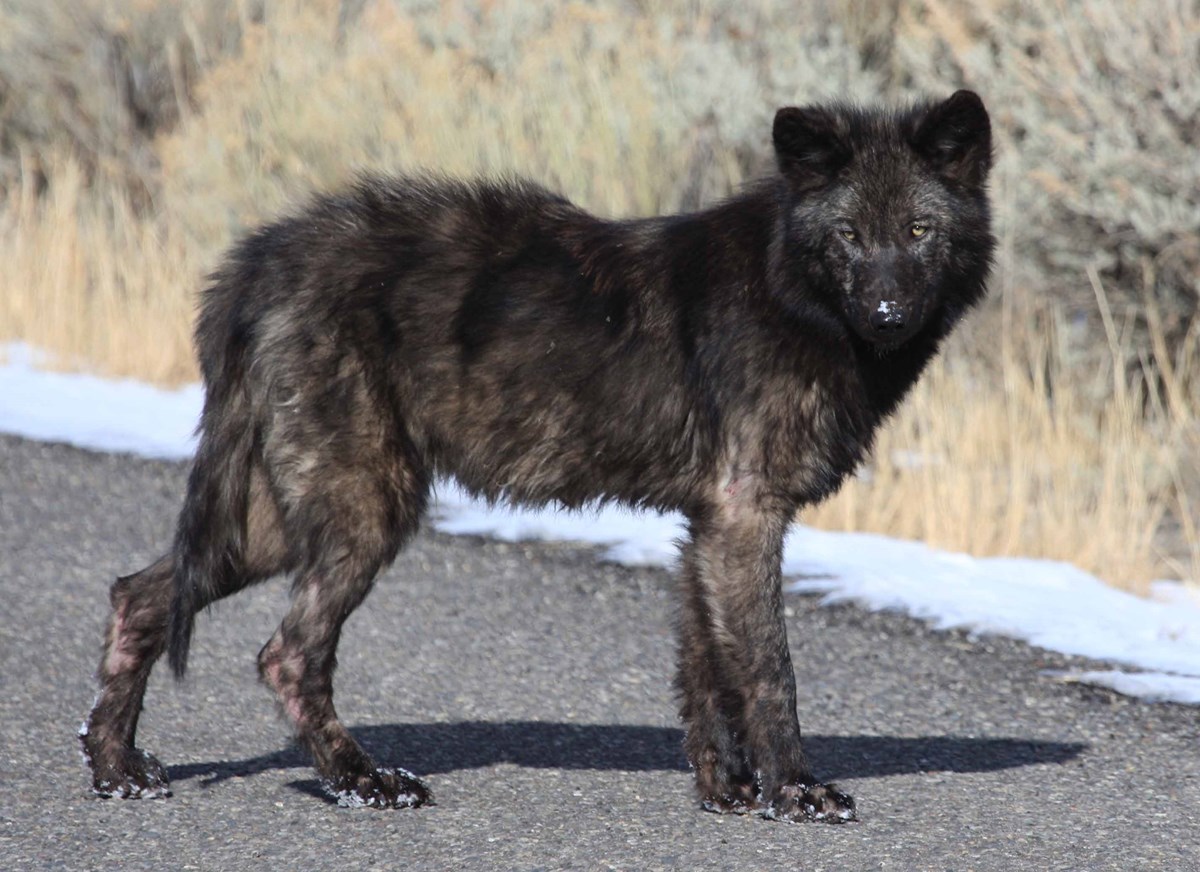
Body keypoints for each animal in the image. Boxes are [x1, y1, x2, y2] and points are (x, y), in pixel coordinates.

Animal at [81, 90, 993, 822]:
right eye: (849, 234)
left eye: (917, 230)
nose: (886, 314)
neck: (788, 287)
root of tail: (255, 263)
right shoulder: (746, 515)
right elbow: (769, 671)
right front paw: (795, 791)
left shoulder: (709, 524)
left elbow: (706, 673)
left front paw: (728, 794)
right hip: (363, 513)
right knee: (287, 654)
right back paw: (363, 782)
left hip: (277, 520)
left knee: (139, 596)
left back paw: (116, 768)